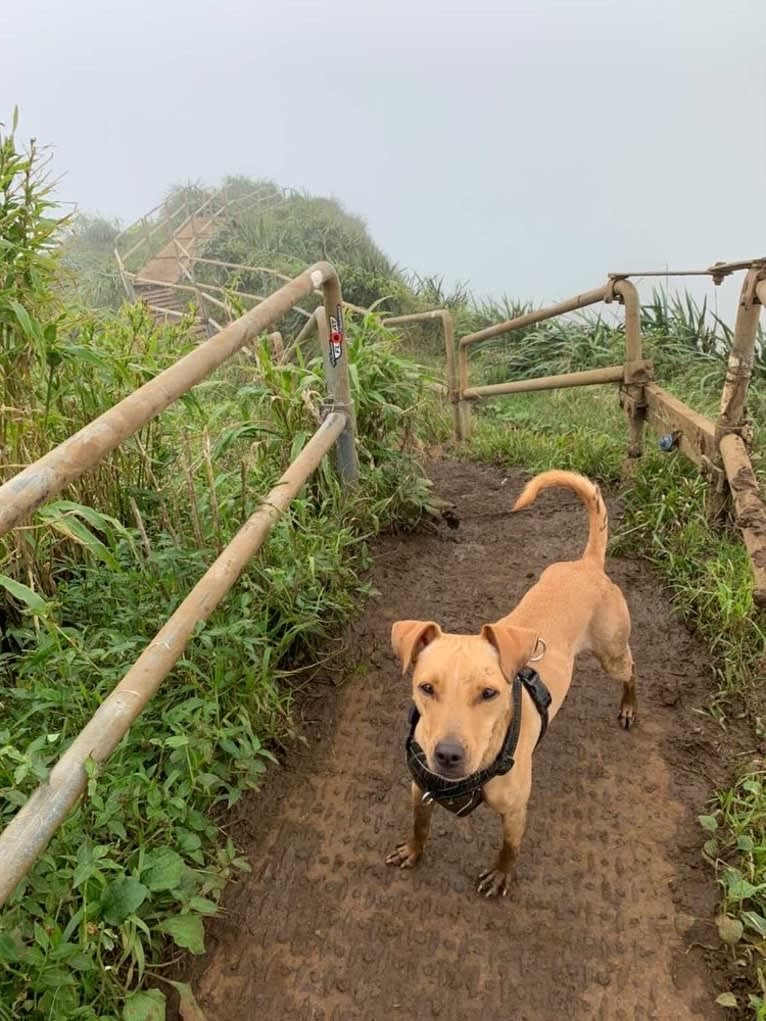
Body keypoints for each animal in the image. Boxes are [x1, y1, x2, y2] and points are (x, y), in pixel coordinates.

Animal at [386, 467, 637, 898]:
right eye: (426, 688)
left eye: (490, 694)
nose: (447, 755)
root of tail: (586, 564)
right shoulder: (421, 790)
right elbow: (420, 825)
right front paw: (413, 850)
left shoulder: (515, 809)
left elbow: (509, 847)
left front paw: (501, 874)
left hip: (612, 653)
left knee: (631, 667)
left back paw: (628, 706)